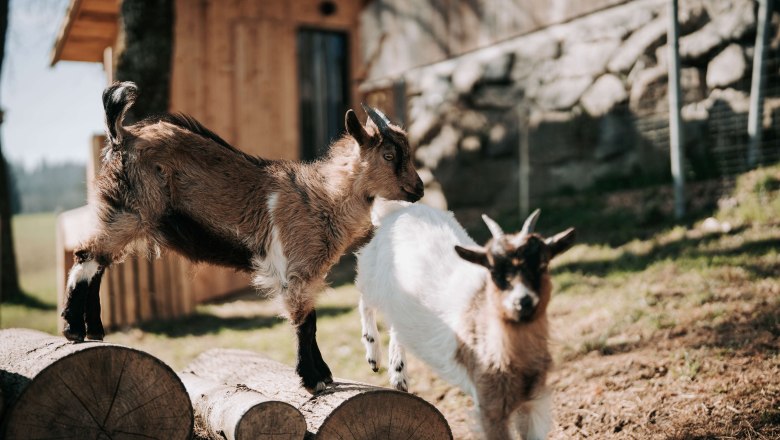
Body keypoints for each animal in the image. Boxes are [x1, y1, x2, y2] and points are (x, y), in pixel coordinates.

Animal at [62, 81, 424, 393]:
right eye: (389, 155)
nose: (419, 189)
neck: (322, 198)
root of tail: (121, 134)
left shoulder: (308, 274)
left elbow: (311, 321)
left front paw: (323, 375)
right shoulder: (294, 270)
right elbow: (304, 324)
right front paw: (312, 380)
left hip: (122, 216)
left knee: (99, 263)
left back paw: (95, 331)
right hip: (128, 212)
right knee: (85, 256)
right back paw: (73, 329)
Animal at [356, 204, 575, 439]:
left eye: (542, 265)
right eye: (493, 270)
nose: (522, 301)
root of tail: (399, 209)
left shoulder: (533, 401)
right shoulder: (489, 405)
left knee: (397, 327)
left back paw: (399, 375)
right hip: (372, 276)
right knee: (364, 299)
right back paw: (373, 354)